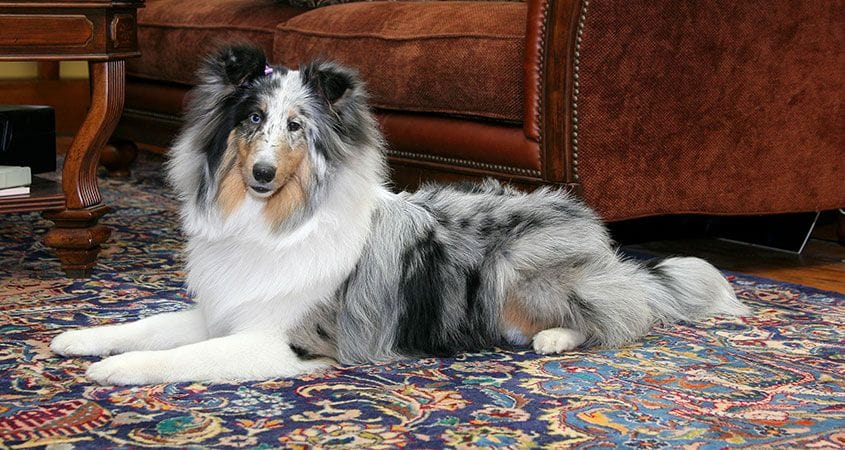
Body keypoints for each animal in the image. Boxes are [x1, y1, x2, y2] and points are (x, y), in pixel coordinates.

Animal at [49, 44, 748, 384]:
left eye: (297, 127)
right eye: (252, 119)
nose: (263, 174)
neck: (272, 225)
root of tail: (588, 223)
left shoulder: (286, 342)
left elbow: (179, 359)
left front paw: (110, 372)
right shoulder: (227, 309)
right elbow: (151, 326)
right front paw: (79, 339)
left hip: (515, 272)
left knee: (624, 315)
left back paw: (555, 336)